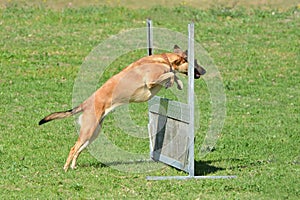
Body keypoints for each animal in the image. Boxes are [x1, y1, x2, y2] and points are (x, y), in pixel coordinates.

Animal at [38, 44, 205, 171]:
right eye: (193, 63)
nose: (203, 71)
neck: (163, 60)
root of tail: (85, 103)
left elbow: (172, 75)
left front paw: (176, 83)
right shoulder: (152, 81)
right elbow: (171, 75)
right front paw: (177, 83)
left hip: (93, 134)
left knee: (78, 149)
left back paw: (73, 166)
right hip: (89, 131)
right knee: (74, 148)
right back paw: (66, 168)